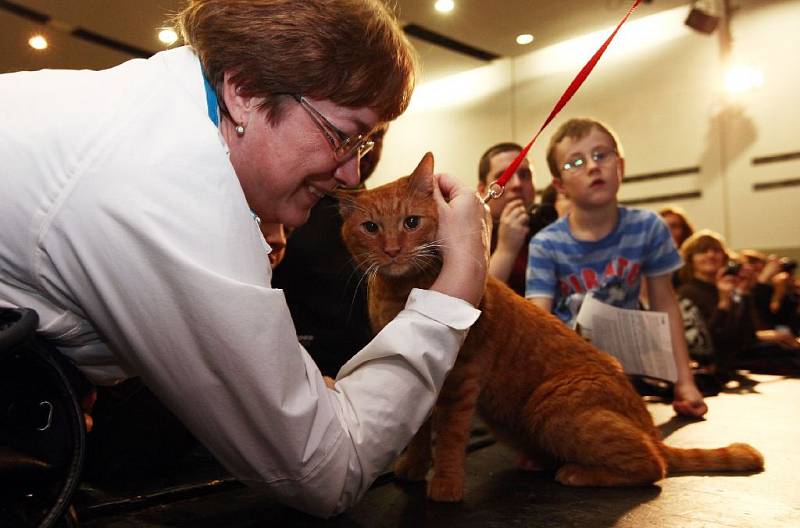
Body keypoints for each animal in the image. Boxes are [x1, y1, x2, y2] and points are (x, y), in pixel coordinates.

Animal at [338, 154, 764, 504]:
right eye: (371, 227)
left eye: (411, 222)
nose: (393, 249)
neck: (401, 292)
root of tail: (647, 420)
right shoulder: (420, 375)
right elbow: (417, 429)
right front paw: (411, 467)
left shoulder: (461, 377)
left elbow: (451, 435)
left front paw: (444, 484)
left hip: (551, 411)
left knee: (653, 464)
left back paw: (577, 472)